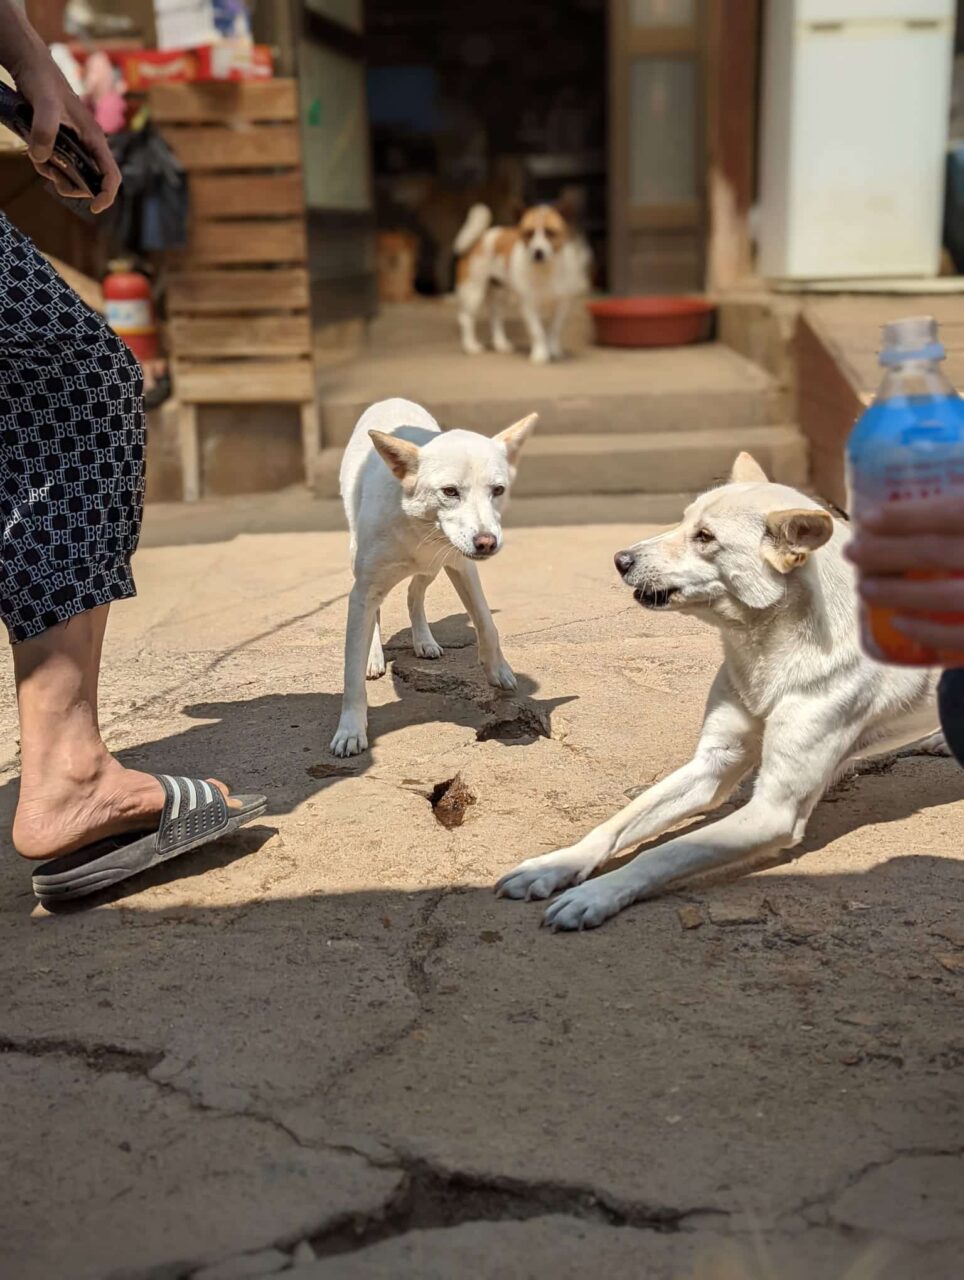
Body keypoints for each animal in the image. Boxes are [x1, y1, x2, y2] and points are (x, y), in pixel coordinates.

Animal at [332, 396, 537, 757]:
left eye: (498, 490)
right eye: (450, 491)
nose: (487, 542)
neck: (419, 527)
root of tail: (391, 398)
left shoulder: (462, 566)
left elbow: (486, 622)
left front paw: (498, 669)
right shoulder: (364, 589)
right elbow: (351, 672)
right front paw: (351, 729)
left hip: (433, 569)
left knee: (415, 593)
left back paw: (424, 640)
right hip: (360, 559)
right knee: (379, 611)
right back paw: (374, 656)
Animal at [453, 202, 594, 366]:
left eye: (550, 233)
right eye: (529, 233)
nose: (538, 252)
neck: (545, 270)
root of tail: (479, 238)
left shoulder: (562, 306)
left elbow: (554, 330)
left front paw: (553, 351)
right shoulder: (529, 306)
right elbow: (537, 332)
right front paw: (540, 355)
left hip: (500, 295)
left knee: (495, 320)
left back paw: (501, 344)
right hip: (474, 292)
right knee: (465, 318)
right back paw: (470, 346)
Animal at [496, 453, 942, 931]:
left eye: (705, 537)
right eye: (684, 520)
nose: (619, 559)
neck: (767, 653)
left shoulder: (773, 809)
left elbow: (664, 852)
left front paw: (597, 894)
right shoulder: (714, 763)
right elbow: (615, 823)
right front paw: (557, 864)